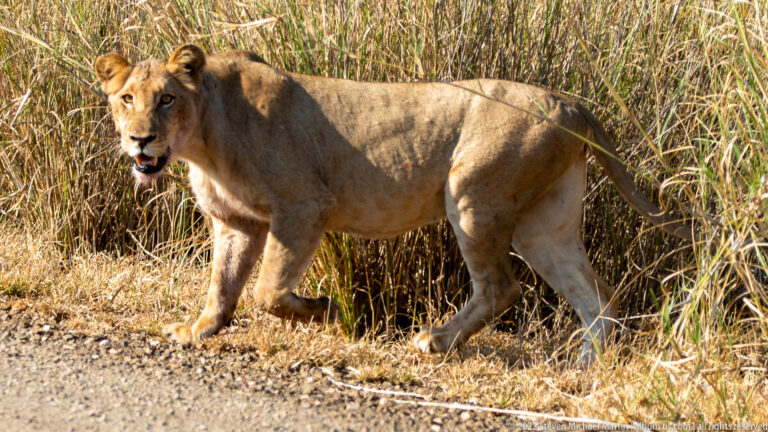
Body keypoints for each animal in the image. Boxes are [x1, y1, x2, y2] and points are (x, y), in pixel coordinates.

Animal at [94, 44, 690, 364]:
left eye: (166, 98)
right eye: (127, 98)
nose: (140, 140)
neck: (202, 138)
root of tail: (571, 103)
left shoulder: (303, 206)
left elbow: (267, 290)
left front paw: (329, 313)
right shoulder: (236, 221)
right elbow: (223, 284)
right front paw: (199, 330)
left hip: (472, 194)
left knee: (501, 287)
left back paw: (436, 340)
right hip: (543, 224)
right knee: (596, 295)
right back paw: (587, 364)